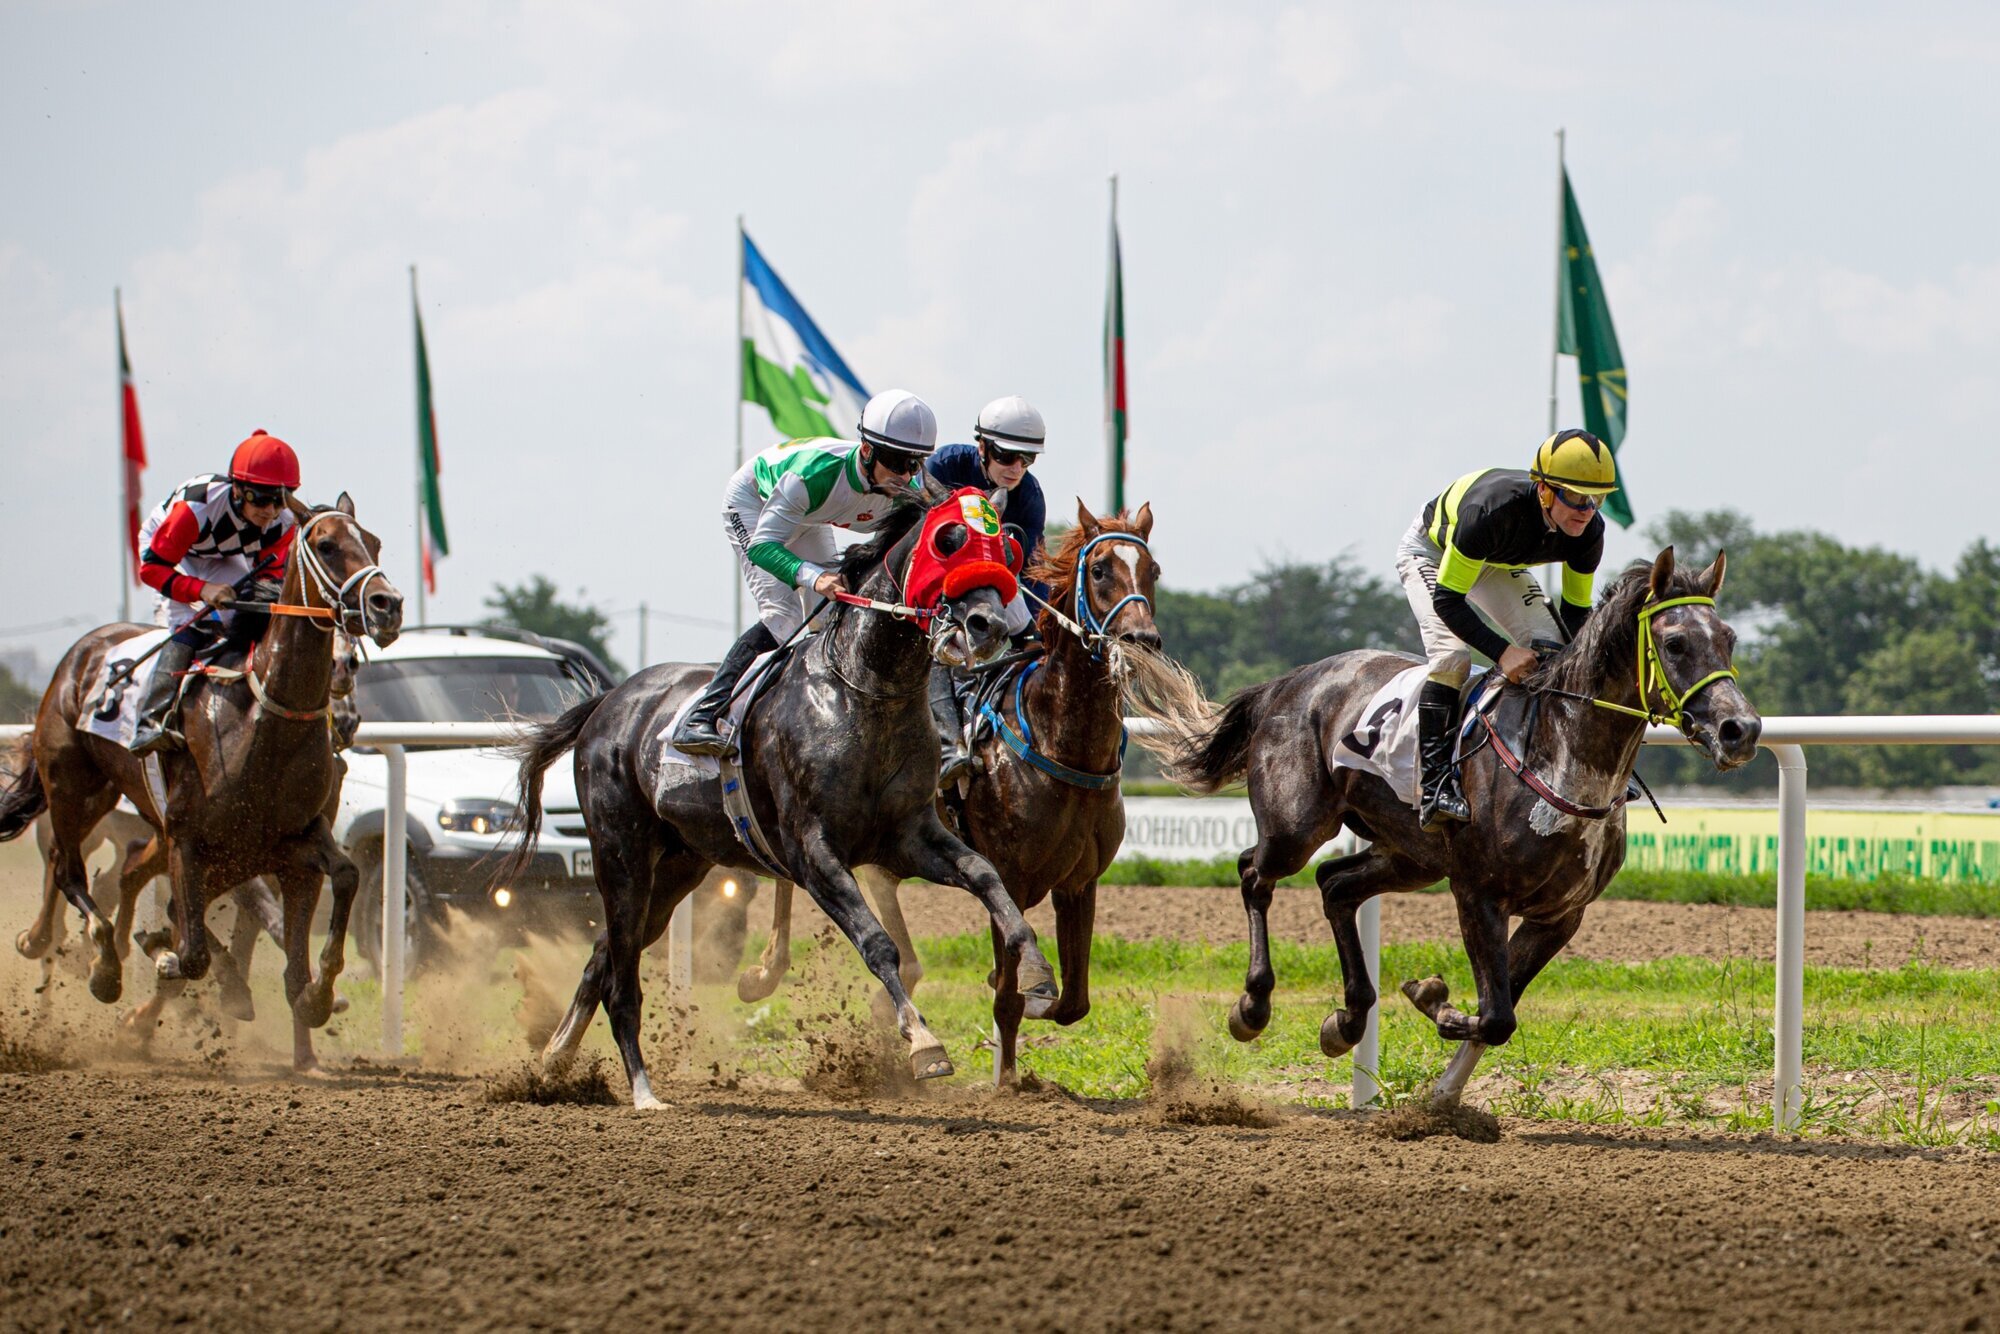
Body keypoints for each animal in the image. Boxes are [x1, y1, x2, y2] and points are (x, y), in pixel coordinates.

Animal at [0, 496, 402, 1072]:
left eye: (373, 543)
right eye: (326, 544)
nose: (386, 605)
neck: (264, 719)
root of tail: (82, 653)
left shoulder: (292, 845)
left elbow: (338, 888)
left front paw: (314, 1008)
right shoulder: (193, 840)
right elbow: (191, 951)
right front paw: (168, 961)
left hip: (122, 808)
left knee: (120, 872)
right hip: (73, 788)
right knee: (68, 869)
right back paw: (90, 961)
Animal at [496, 486, 1064, 1112]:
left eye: (1007, 549)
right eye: (949, 540)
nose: (988, 625)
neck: (863, 691)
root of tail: (606, 702)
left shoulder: (909, 837)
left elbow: (988, 878)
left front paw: (1038, 974)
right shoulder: (812, 852)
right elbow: (877, 944)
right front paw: (923, 1042)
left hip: (677, 867)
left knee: (603, 955)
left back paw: (555, 1060)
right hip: (620, 854)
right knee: (621, 978)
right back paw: (642, 1091)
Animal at [732, 504, 1208, 1088]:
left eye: (1153, 570)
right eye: (1099, 570)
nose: (1142, 638)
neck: (1061, 744)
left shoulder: (1079, 881)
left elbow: (1074, 1001)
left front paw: (1031, 1006)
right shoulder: (1013, 875)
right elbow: (1009, 992)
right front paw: (1006, 1070)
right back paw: (766, 970)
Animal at [1168, 552, 1760, 1104]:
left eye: (1729, 639)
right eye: (1676, 643)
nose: (1742, 729)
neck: (1560, 759)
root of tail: (1288, 683)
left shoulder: (1560, 915)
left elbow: (1502, 1008)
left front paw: (1442, 1091)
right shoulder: (1478, 893)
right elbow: (1496, 1015)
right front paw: (1431, 997)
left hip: (1412, 856)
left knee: (1335, 885)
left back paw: (1348, 1019)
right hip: (1296, 826)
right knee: (1255, 873)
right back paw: (1253, 1004)